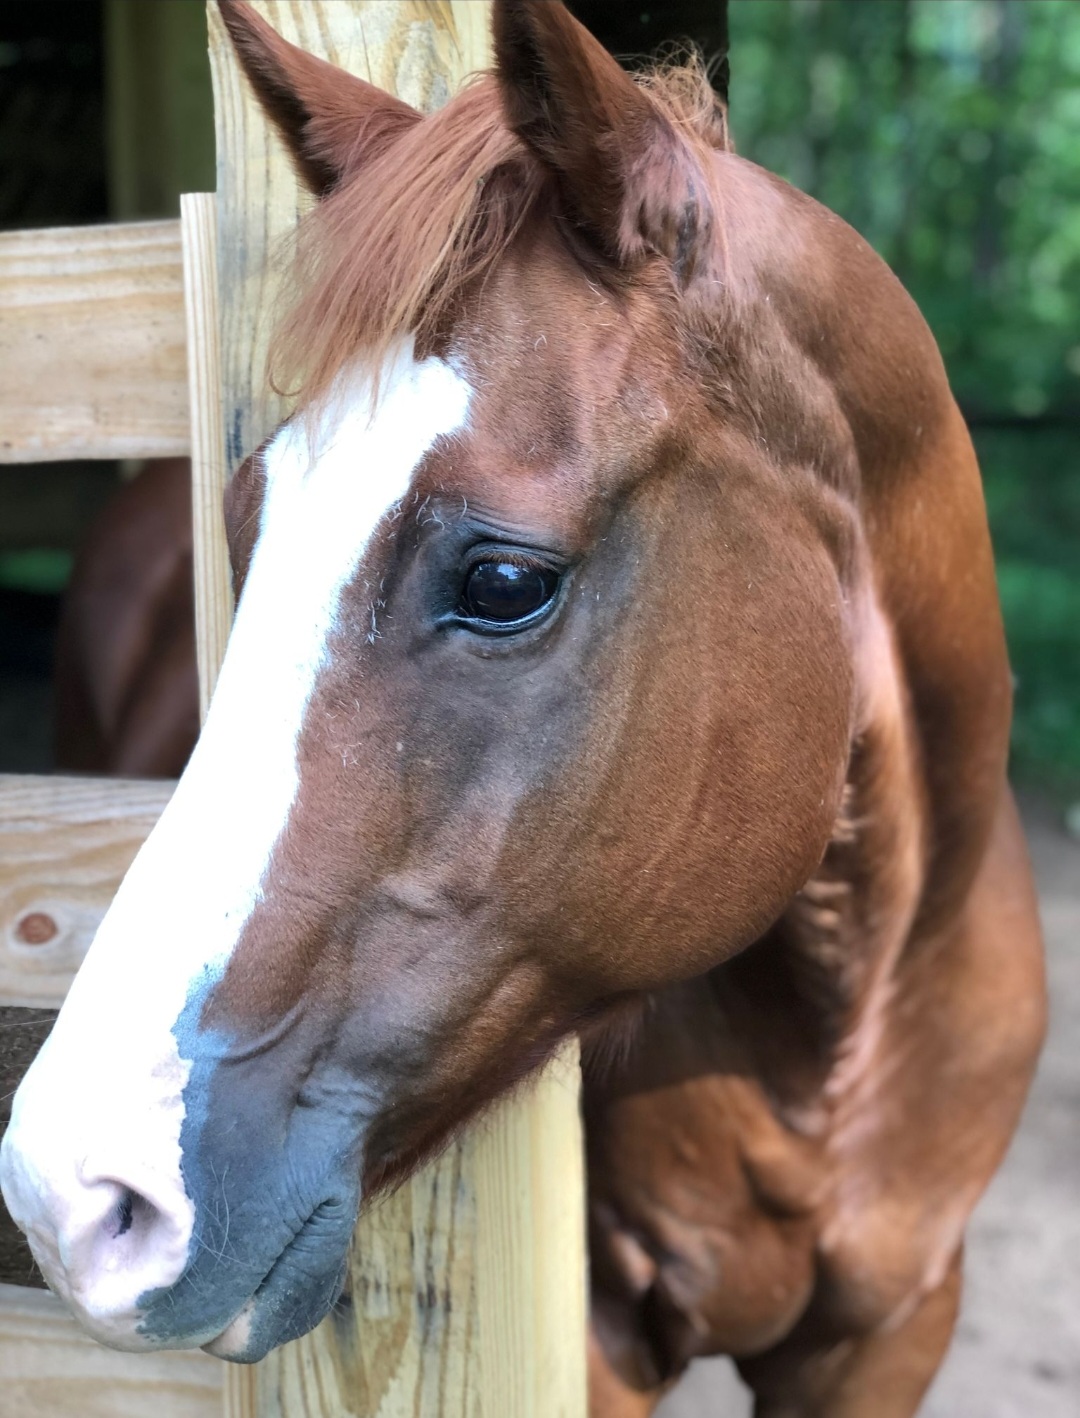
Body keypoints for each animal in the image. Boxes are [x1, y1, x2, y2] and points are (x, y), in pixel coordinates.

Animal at [0, 5, 1043, 1412]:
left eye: (502, 582)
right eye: (243, 524)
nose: (75, 1197)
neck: (838, 1035)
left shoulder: (895, 1328)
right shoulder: (601, 1336)